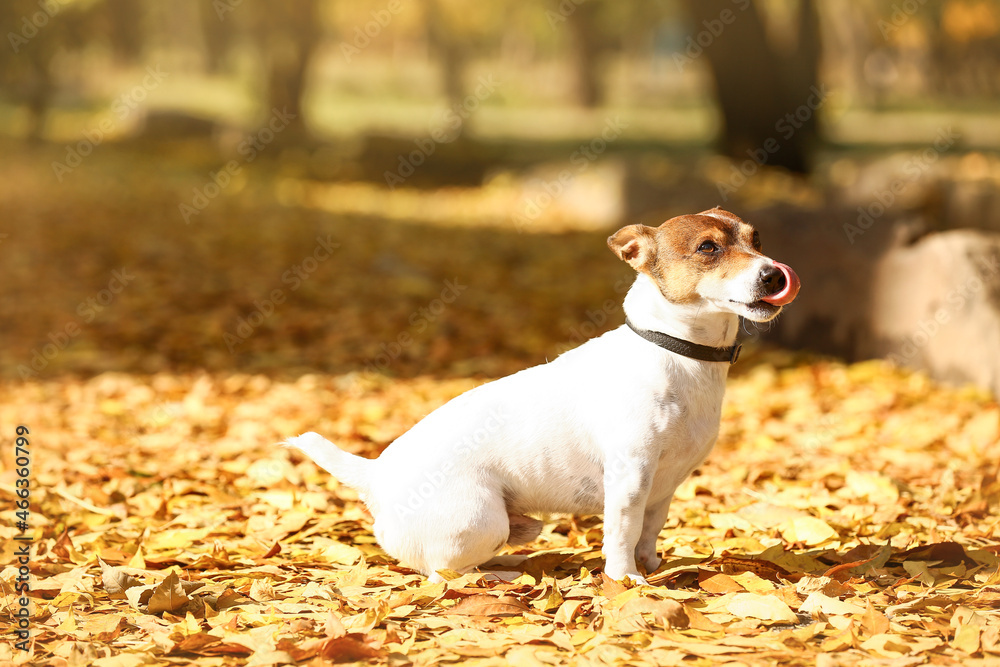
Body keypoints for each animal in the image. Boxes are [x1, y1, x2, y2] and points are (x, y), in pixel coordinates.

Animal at [286, 209, 800, 584]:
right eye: (708, 248)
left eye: (757, 240)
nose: (775, 275)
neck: (676, 351)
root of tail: (375, 476)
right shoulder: (630, 479)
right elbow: (622, 533)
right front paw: (626, 580)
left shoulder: (663, 487)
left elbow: (649, 531)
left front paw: (653, 566)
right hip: (482, 518)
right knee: (445, 573)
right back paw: (502, 578)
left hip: (517, 523)